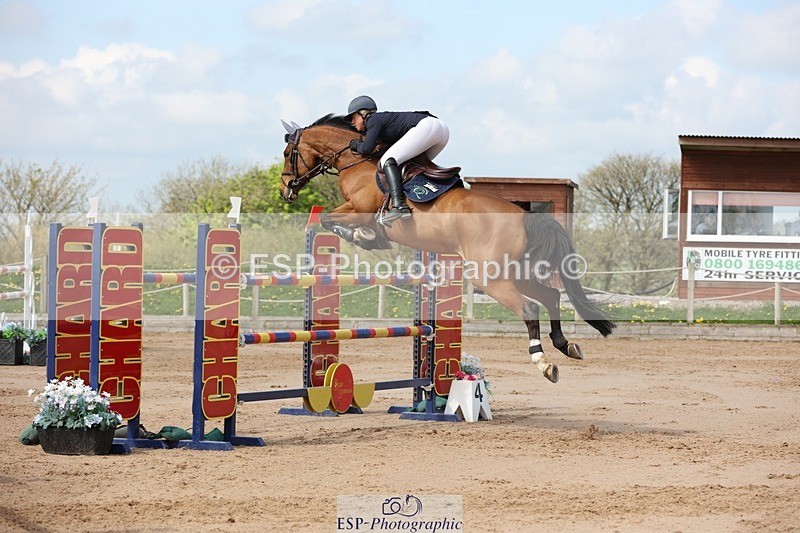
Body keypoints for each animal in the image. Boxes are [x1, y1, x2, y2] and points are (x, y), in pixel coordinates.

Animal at [278, 114, 615, 383]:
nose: (284, 191)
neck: (356, 160)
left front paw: (364, 236)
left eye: (287, 153)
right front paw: (368, 237)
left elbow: (327, 218)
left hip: (489, 277)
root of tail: (524, 215)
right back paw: (566, 345)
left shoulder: (359, 208)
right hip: (514, 271)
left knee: (531, 308)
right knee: (551, 296)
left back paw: (544, 362)